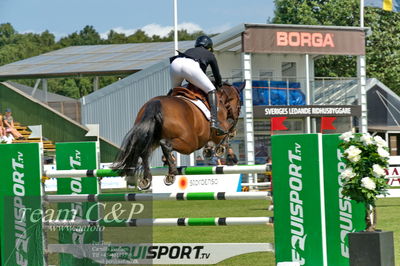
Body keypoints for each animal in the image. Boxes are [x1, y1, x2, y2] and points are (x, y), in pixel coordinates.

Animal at [112, 81, 244, 189]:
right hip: (190, 143)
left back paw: (147, 179)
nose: (237, 116)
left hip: (150, 138)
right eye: (239, 102)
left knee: (144, 152)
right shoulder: (219, 129)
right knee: (165, 144)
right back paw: (172, 173)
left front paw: (208, 150)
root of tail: (155, 104)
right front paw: (222, 149)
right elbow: (226, 134)